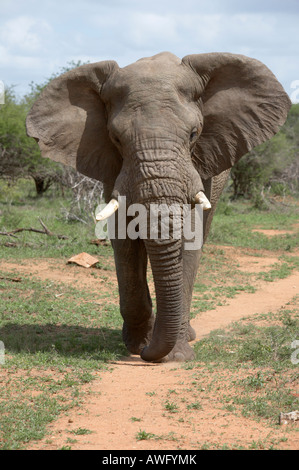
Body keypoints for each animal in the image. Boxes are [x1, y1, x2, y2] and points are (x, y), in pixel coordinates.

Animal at [27, 53, 292, 364]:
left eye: (193, 134)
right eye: (116, 138)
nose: (145, 353)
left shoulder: (199, 165)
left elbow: (190, 238)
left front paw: (174, 355)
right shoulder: (112, 165)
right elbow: (124, 239)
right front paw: (137, 344)